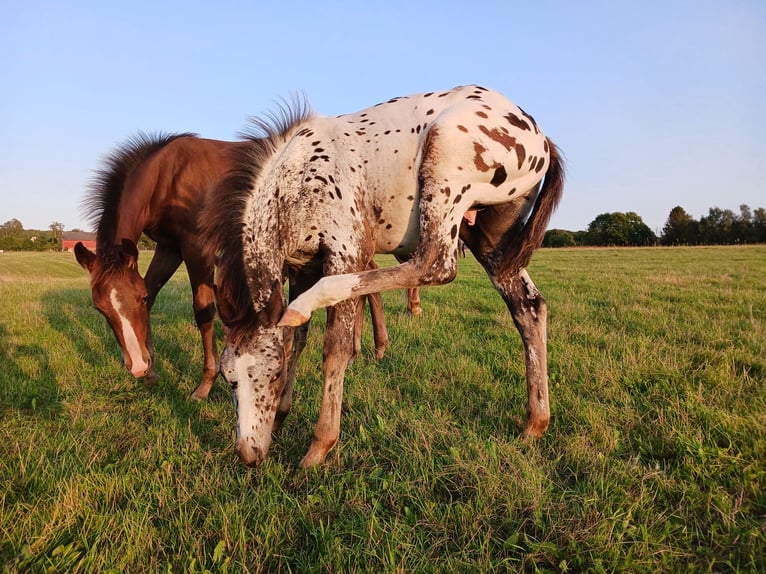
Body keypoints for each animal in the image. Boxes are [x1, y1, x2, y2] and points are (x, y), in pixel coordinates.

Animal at [73, 132, 390, 398]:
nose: (137, 365)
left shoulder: (197, 248)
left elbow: (202, 310)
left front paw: (205, 385)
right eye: (100, 308)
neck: (168, 175)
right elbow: (155, 291)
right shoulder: (169, 247)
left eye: (136, 298)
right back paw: (365, 348)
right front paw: (151, 371)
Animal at [207, 86, 568, 472]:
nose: (249, 453)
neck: (299, 176)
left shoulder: (344, 251)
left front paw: (320, 446)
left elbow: (333, 347)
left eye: (271, 375)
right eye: (229, 380)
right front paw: (281, 415)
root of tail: (540, 137)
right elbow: (295, 340)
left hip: (444, 174)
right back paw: (535, 423)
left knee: (435, 265)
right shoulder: (301, 268)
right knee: (529, 307)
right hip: (492, 238)